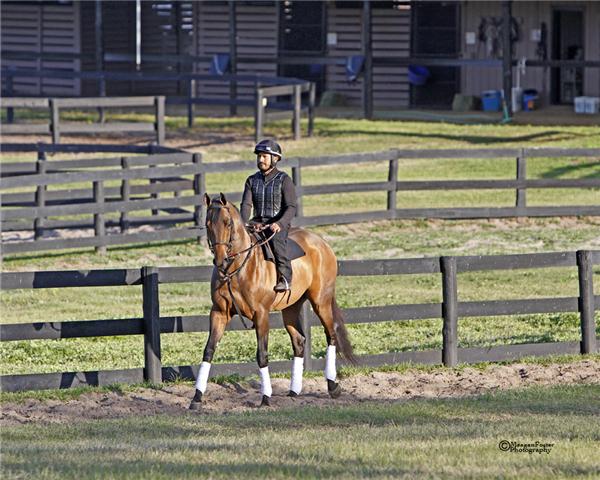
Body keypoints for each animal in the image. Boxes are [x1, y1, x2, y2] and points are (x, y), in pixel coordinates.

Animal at [190, 192, 354, 408]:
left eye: (227, 223)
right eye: (208, 224)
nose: (220, 260)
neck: (238, 269)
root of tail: (320, 242)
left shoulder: (261, 314)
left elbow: (262, 355)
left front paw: (266, 397)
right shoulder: (219, 312)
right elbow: (208, 351)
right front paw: (196, 397)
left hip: (321, 302)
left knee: (331, 335)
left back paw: (332, 386)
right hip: (291, 309)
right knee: (299, 341)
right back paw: (294, 390)